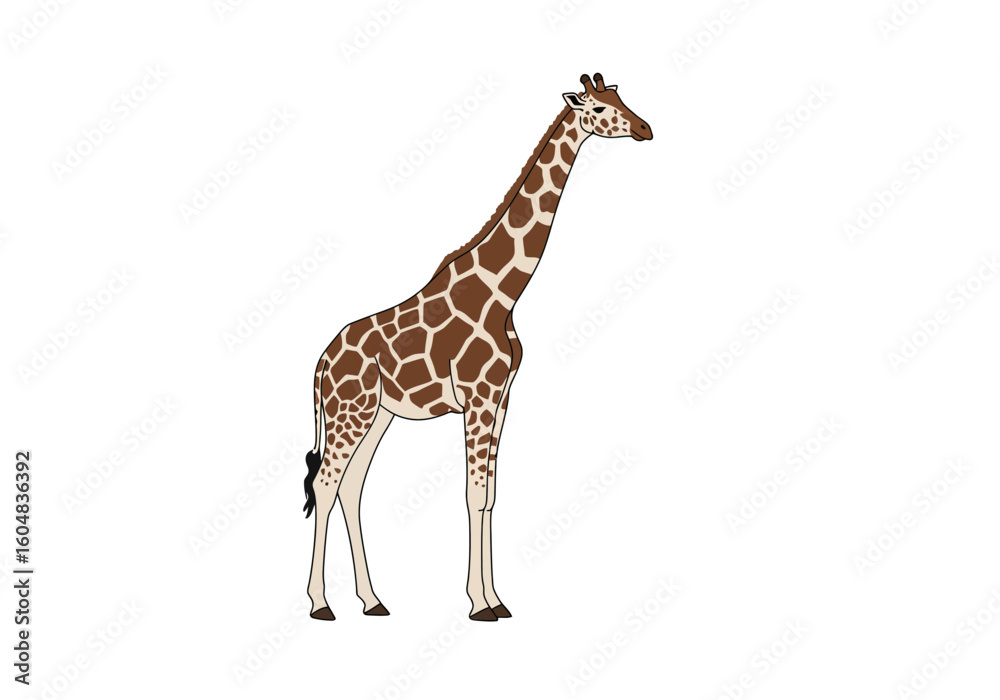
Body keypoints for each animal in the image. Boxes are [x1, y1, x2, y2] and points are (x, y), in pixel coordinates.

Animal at [304, 73, 652, 622]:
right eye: (598, 108)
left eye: (619, 96)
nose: (644, 128)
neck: (505, 292)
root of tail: (320, 363)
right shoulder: (478, 397)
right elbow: (472, 494)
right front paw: (479, 605)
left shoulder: (502, 397)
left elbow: (490, 495)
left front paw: (495, 599)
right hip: (349, 410)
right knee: (325, 483)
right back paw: (320, 604)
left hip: (377, 413)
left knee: (351, 484)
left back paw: (373, 600)